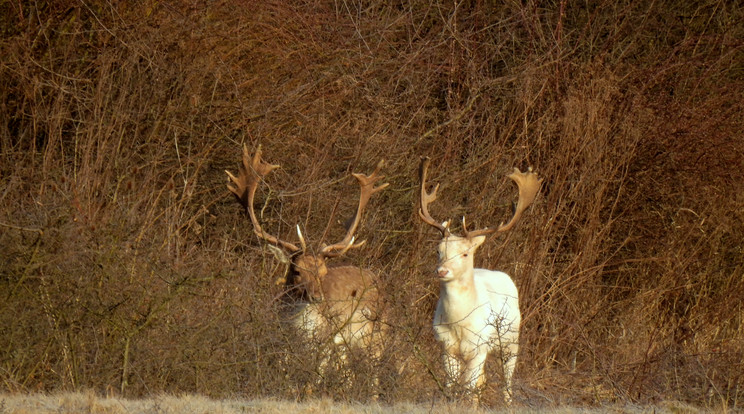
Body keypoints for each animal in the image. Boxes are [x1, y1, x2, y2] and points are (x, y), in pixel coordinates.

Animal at [225, 145, 390, 394]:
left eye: (323, 273)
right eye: (296, 271)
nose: (316, 297)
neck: (298, 329)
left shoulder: (324, 341)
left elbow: (312, 382)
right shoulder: (282, 340)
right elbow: (286, 378)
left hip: (376, 334)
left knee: (374, 375)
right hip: (345, 345)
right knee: (349, 373)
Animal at [418, 157, 540, 406]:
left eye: (465, 253)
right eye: (439, 250)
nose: (442, 271)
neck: (458, 324)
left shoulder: (480, 347)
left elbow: (467, 389)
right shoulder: (446, 347)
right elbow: (452, 387)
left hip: (511, 340)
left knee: (506, 382)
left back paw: (508, 402)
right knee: (482, 383)